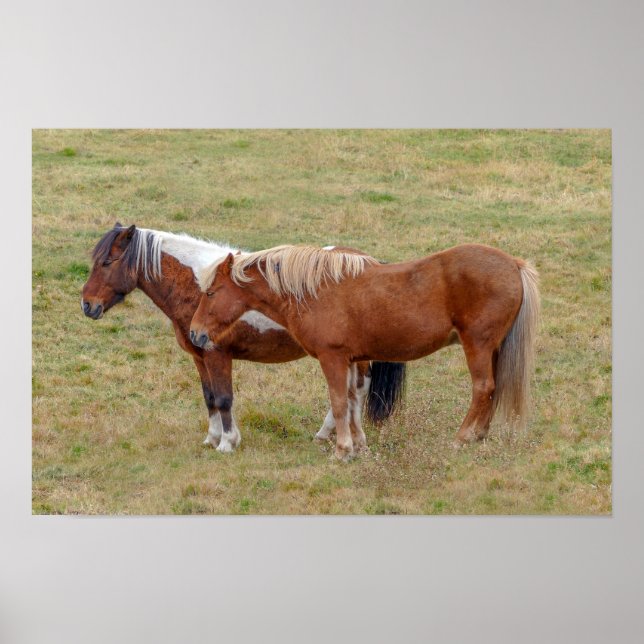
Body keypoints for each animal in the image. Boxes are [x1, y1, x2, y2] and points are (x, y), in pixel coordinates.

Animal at [81, 224, 406, 452]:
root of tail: (372, 263)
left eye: (107, 262)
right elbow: (210, 397)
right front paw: (212, 438)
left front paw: (227, 442)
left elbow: (224, 398)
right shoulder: (199, 357)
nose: (87, 305)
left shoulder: (217, 354)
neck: (198, 284)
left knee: (356, 391)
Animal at [190, 243, 540, 460]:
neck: (315, 290)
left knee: (483, 388)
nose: (195, 333)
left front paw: (342, 450)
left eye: (211, 292)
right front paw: (359, 446)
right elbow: (353, 401)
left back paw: (463, 437)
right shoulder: (352, 359)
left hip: (477, 346)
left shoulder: (332, 358)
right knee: (494, 389)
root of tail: (513, 265)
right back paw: (480, 435)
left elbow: (339, 402)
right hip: (493, 349)